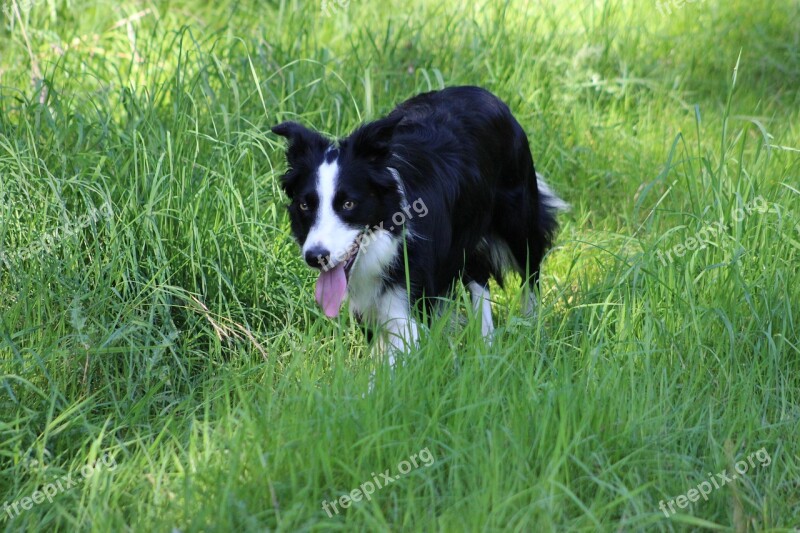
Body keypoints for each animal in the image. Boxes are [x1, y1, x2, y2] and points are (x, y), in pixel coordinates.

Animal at [272, 86, 564, 362]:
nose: (316, 257)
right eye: (305, 205)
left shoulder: (409, 301)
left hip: (518, 218)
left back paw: (532, 330)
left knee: (531, 271)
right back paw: (486, 346)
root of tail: (484, 93)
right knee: (479, 277)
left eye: (348, 204)